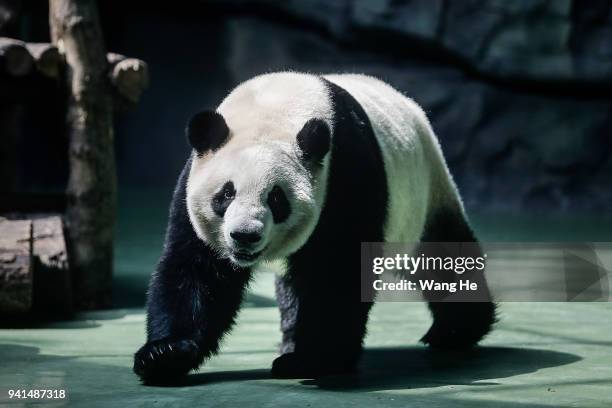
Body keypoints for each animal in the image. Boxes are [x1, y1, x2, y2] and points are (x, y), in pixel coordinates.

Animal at [134, 71, 498, 384]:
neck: (275, 103)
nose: (245, 236)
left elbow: (340, 270)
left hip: (424, 193)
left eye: (276, 198)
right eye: (226, 193)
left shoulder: (344, 172)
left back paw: (456, 330)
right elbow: (196, 269)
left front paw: (314, 360)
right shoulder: (192, 185)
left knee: (444, 255)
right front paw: (164, 354)